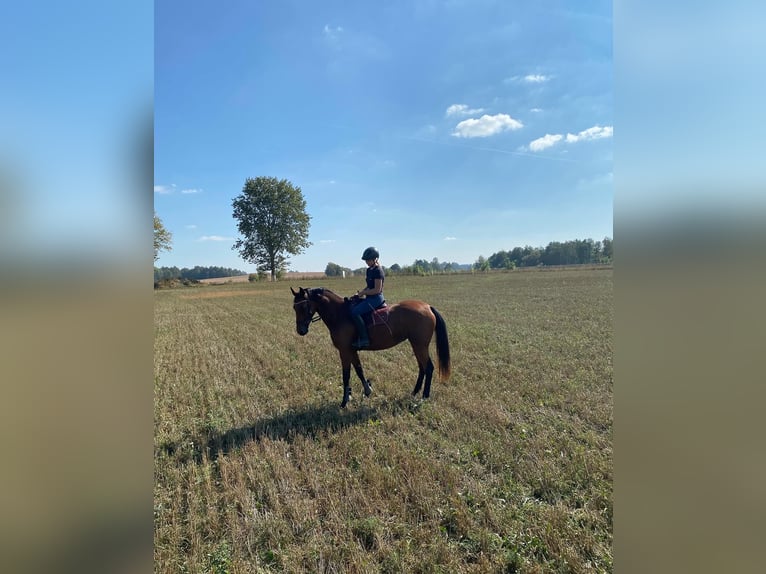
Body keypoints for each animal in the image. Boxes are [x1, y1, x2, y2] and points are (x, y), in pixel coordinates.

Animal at [292, 288, 452, 410]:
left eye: (303, 307)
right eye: (294, 307)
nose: (300, 330)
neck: (340, 314)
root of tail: (427, 307)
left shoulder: (344, 351)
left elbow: (346, 375)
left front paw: (344, 401)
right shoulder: (351, 351)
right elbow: (359, 370)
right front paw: (366, 390)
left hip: (420, 345)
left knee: (428, 368)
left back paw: (424, 396)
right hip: (417, 345)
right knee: (422, 368)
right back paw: (414, 392)